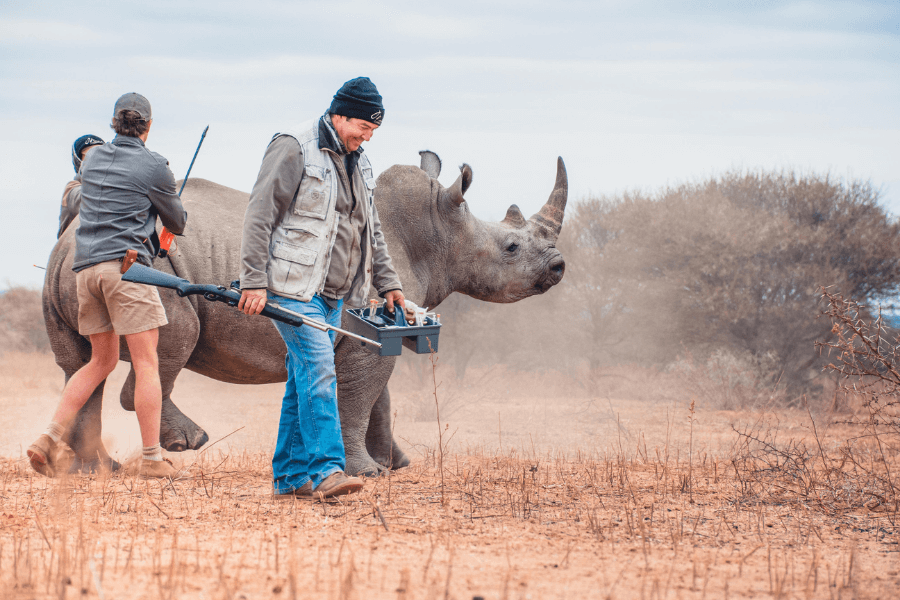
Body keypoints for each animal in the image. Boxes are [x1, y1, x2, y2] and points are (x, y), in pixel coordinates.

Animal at [42, 151, 568, 476]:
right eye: (511, 247)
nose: (559, 266)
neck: (439, 232)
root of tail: (70, 239)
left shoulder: (376, 329)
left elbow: (379, 398)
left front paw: (394, 465)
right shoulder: (364, 328)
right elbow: (360, 397)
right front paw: (367, 472)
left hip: (71, 268)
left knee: (83, 365)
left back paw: (95, 470)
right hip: (149, 270)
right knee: (169, 341)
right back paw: (187, 443)